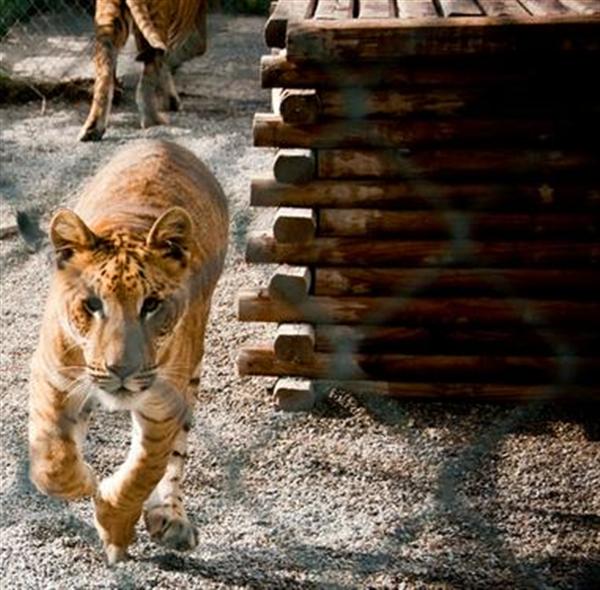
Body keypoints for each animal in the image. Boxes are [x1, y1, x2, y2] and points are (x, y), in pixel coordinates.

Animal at [28, 141, 230, 568]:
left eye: (151, 305)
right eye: (91, 305)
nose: (121, 369)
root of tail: (164, 142)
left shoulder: (163, 402)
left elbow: (144, 470)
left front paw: (115, 524)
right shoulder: (53, 376)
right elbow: (54, 462)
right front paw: (85, 479)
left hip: (192, 373)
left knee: (176, 456)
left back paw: (170, 517)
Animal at [79, 0, 209, 142]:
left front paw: (171, 101)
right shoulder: (190, 30)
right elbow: (182, 51)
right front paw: (172, 101)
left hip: (108, 22)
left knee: (104, 75)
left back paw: (92, 129)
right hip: (157, 18)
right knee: (151, 68)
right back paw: (152, 120)